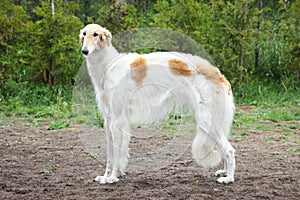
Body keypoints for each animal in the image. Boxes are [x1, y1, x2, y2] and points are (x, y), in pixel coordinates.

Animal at [79, 23, 237, 184]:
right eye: (84, 34)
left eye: (96, 34)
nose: (84, 51)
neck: (108, 66)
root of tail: (218, 73)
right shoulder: (108, 120)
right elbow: (110, 155)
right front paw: (105, 176)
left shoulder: (117, 121)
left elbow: (116, 154)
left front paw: (112, 177)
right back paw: (224, 172)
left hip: (206, 120)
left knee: (229, 150)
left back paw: (228, 178)